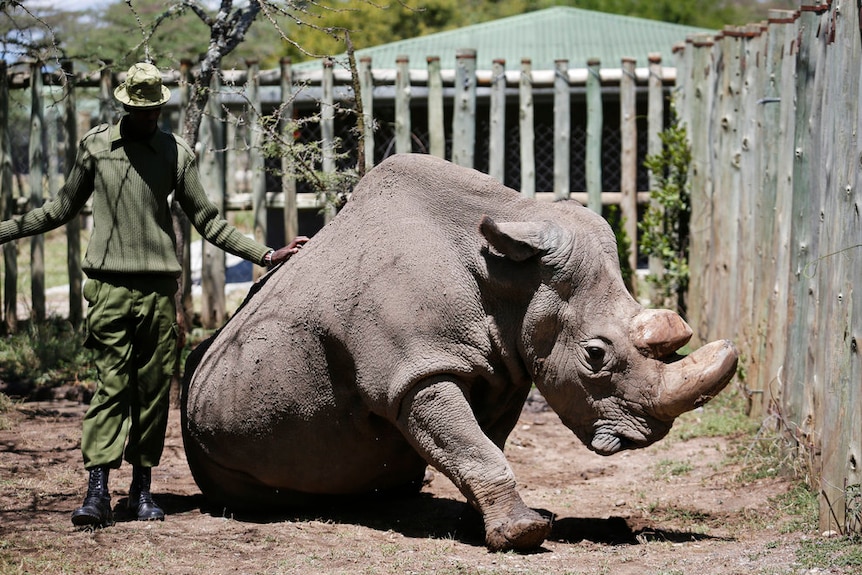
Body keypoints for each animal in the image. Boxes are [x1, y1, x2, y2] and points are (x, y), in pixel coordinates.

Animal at [181, 154, 736, 552]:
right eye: (595, 355)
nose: (647, 436)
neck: (510, 277)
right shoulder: (414, 374)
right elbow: (471, 444)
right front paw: (523, 536)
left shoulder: (507, 366)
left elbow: (482, 442)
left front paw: (494, 522)